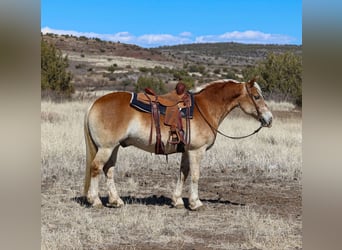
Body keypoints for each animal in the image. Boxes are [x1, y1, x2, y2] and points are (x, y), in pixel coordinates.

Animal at [83, 79, 272, 210]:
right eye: (256, 96)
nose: (269, 119)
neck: (205, 108)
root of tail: (95, 103)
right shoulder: (197, 151)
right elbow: (195, 175)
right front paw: (195, 203)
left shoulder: (187, 151)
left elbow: (183, 174)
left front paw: (178, 200)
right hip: (106, 148)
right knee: (96, 168)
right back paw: (95, 201)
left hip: (113, 148)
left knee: (108, 170)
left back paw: (116, 201)